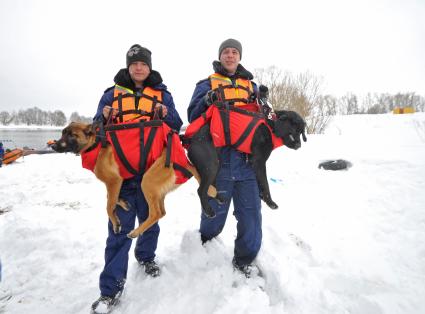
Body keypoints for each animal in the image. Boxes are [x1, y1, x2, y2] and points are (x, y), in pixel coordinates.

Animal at [50, 122, 217, 238]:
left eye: (72, 135)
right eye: (63, 133)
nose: (53, 145)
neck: (96, 144)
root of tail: (181, 160)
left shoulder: (114, 181)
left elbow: (108, 206)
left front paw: (116, 223)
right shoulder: (114, 184)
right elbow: (111, 198)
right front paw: (123, 203)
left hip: (147, 181)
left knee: (156, 213)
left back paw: (136, 232)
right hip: (157, 189)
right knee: (162, 212)